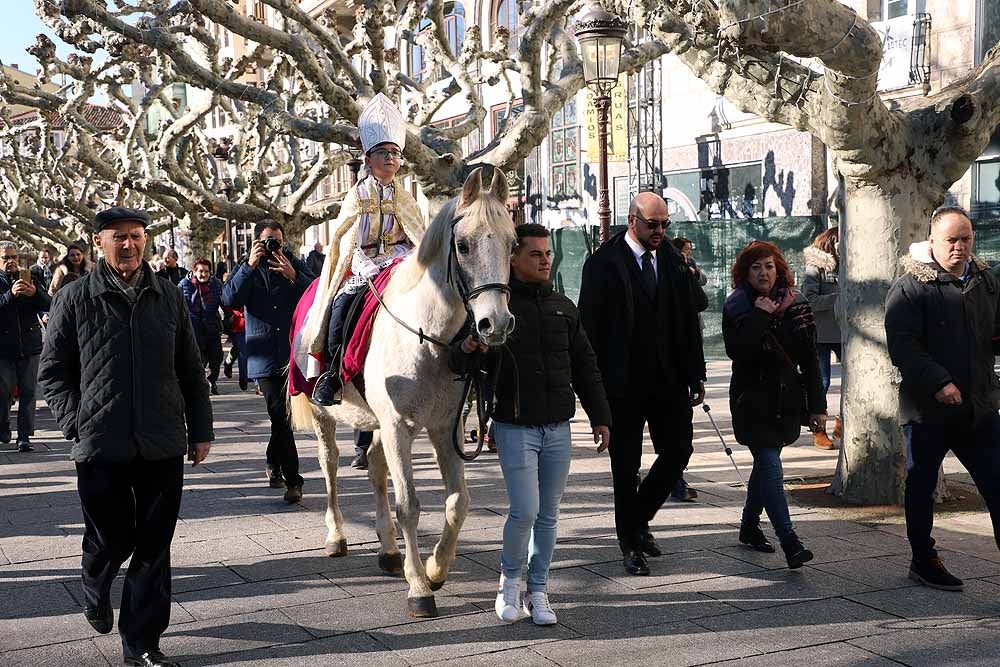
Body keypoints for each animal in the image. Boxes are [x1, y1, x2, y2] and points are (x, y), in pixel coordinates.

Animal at [290, 170, 516, 620]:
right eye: (463, 245)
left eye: (512, 242)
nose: (494, 324)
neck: (428, 334)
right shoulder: (398, 427)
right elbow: (409, 504)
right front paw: (420, 589)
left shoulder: (445, 427)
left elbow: (458, 502)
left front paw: (435, 569)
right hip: (326, 415)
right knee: (330, 465)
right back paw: (336, 536)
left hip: (377, 422)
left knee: (376, 469)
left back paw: (389, 552)